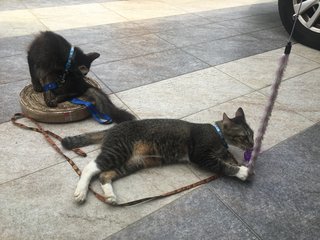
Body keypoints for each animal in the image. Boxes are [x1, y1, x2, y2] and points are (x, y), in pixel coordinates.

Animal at [62, 108, 252, 203]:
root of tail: (112, 128)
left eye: (252, 134)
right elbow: (222, 165)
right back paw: (81, 192)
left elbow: (225, 158)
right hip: (118, 150)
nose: (252, 144)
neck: (218, 133)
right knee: (91, 167)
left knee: (104, 174)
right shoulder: (200, 156)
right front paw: (242, 172)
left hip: (135, 162)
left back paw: (110, 196)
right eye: (244, 136)